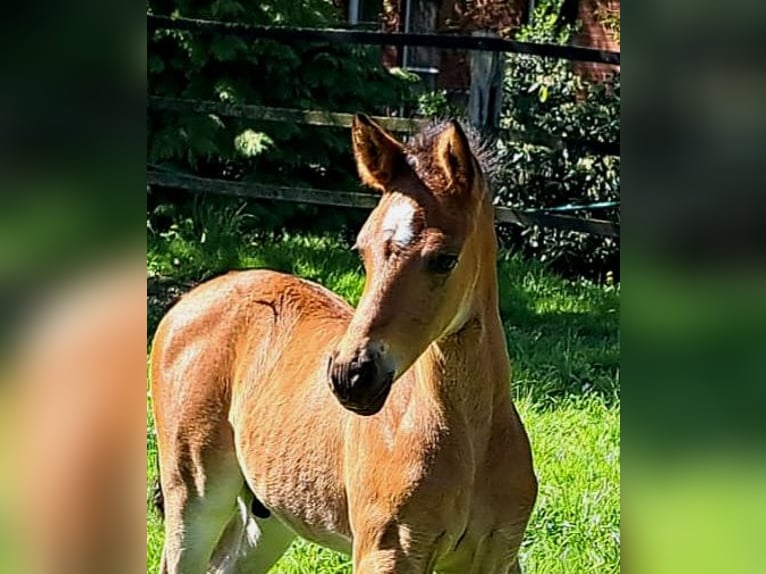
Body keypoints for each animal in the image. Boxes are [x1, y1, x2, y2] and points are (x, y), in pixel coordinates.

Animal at [150, 114, 537, 574]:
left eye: (445, 259)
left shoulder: (497, 556)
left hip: (272, 514)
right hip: (195, 493)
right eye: (361, 250)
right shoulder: (386, 552)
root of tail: (187, 300)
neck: (472, 441)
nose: (351, 375)